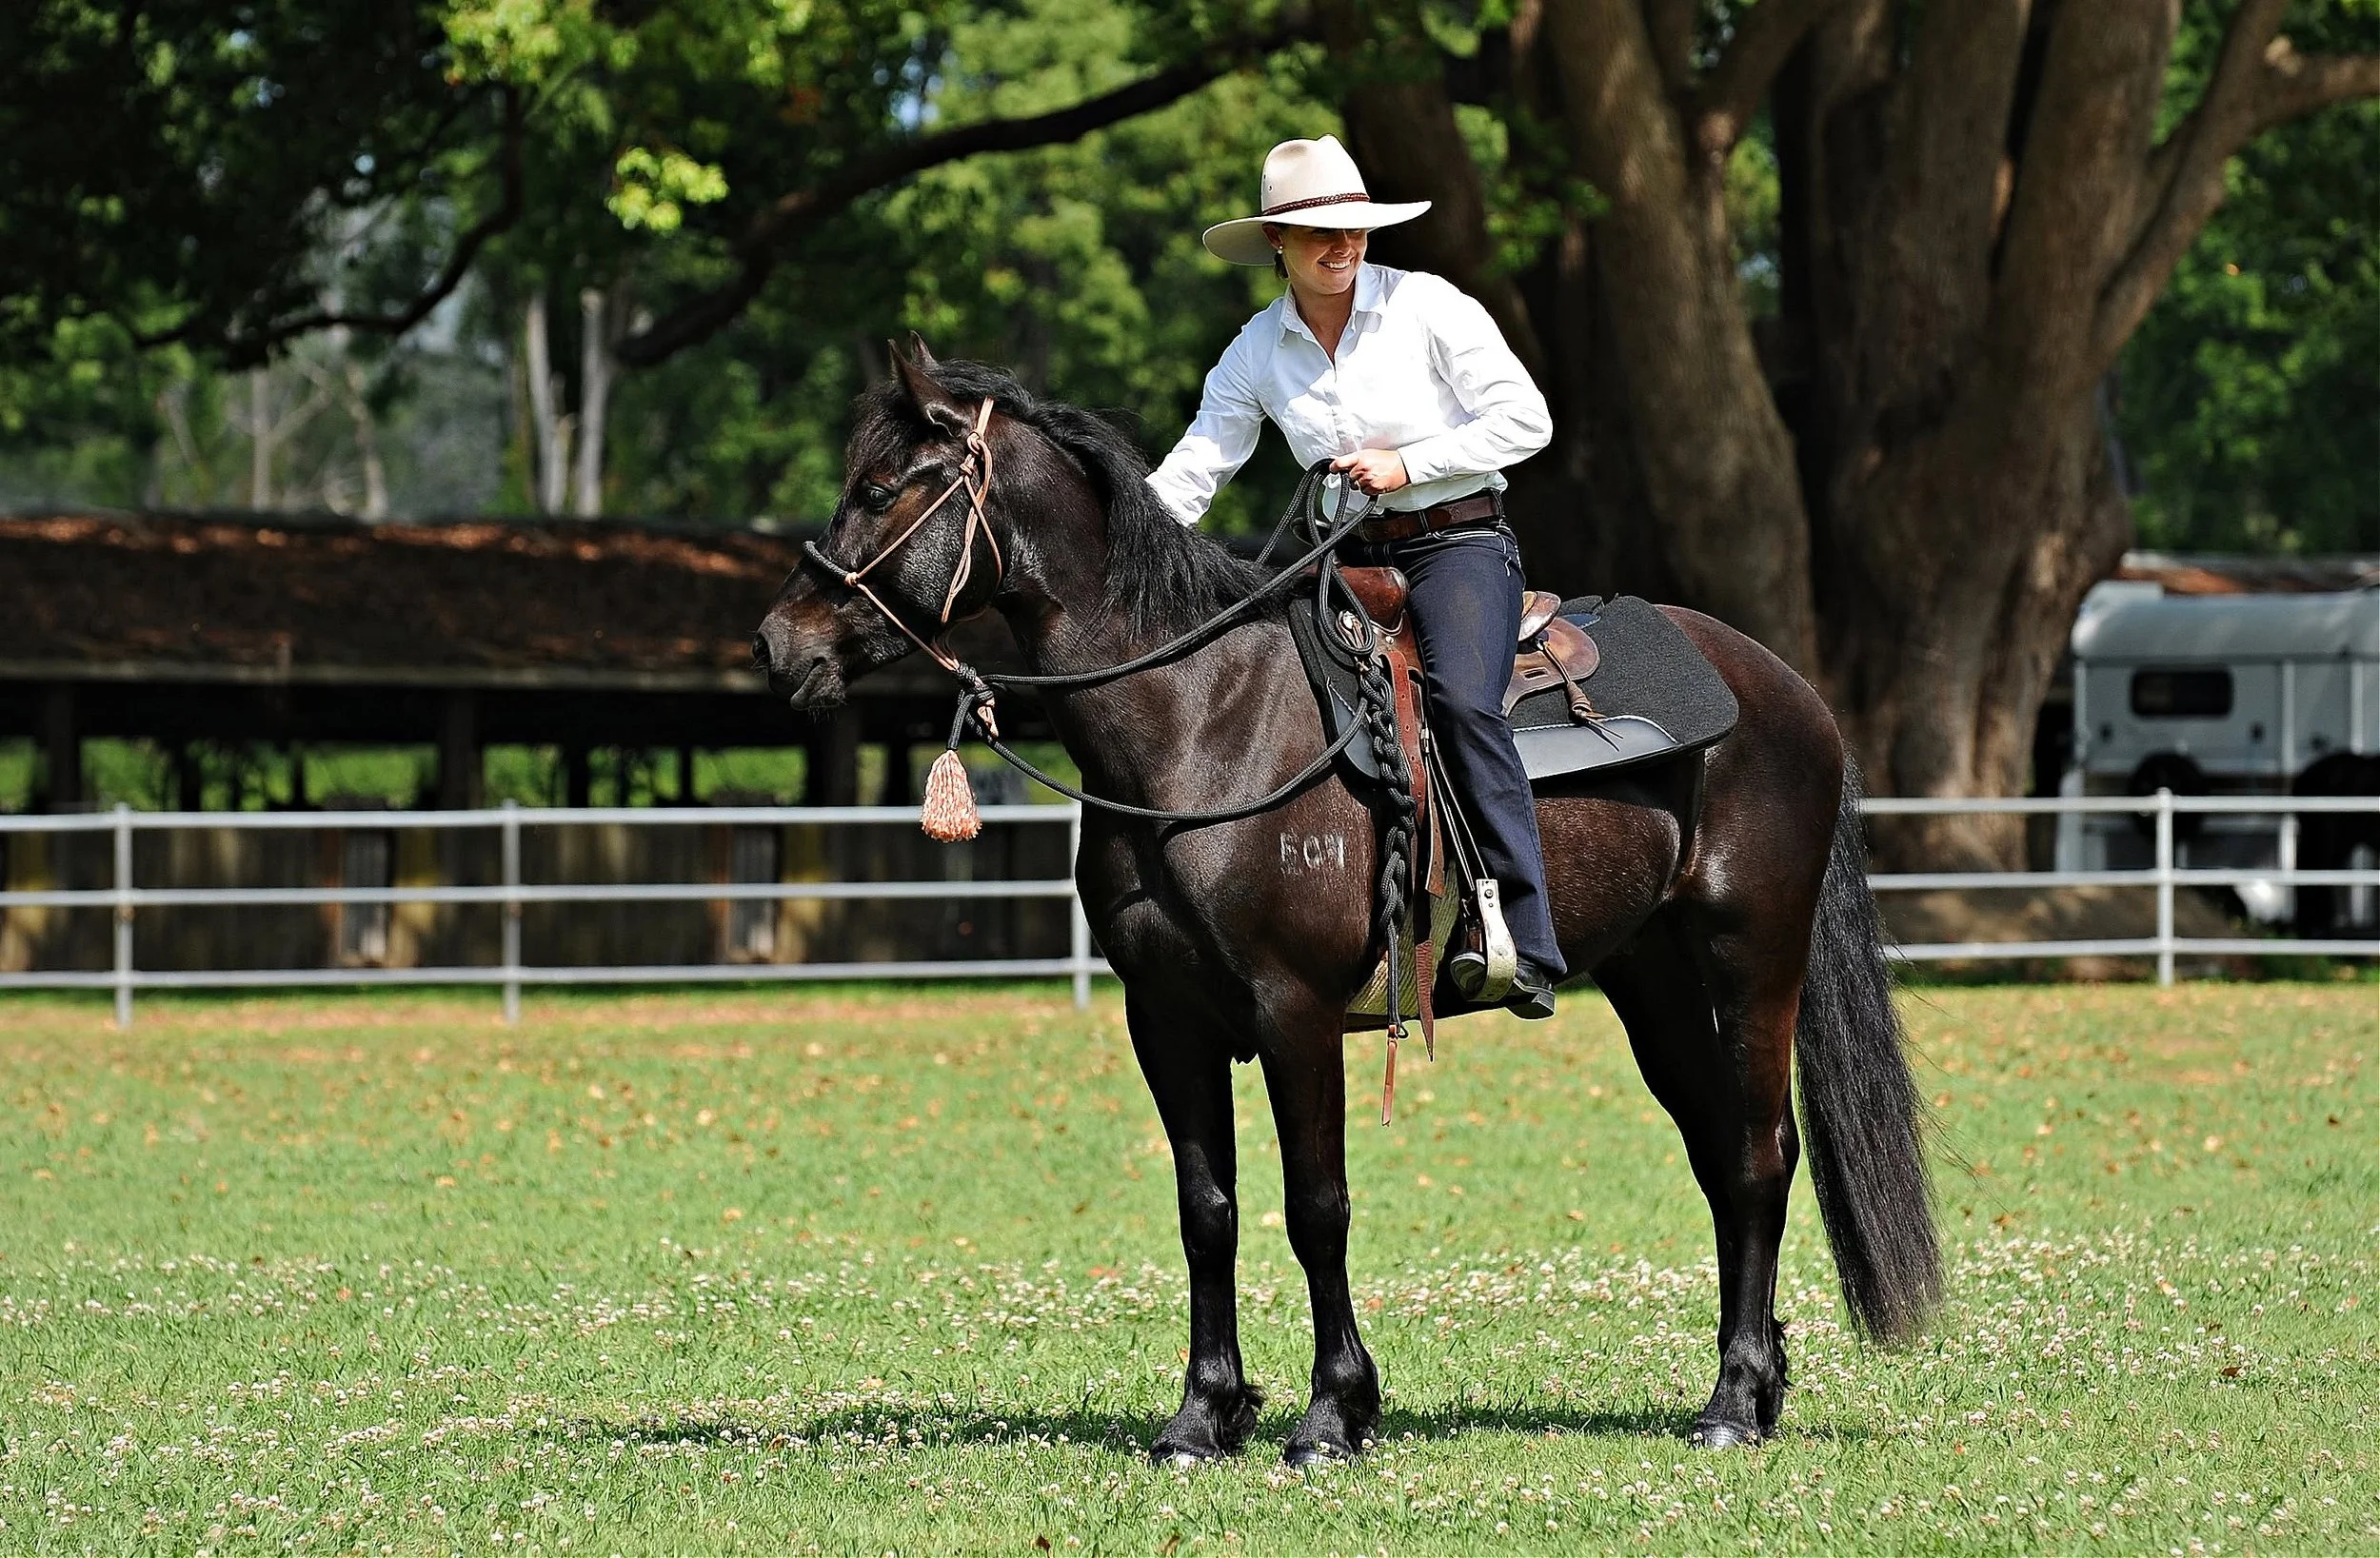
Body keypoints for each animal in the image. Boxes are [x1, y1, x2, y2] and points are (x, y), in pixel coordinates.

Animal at [752, 346, 1942, 1464]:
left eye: (884, 485)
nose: (776, 644)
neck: (1201, 721)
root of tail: (1783, 688)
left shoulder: (1298, 1011)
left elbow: (1314, 1206)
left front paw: (1333, 1412)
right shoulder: (1165, 1019)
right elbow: (1207, 1210)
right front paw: (1203, 1413)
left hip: (1752, 956)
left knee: (1755, 1157)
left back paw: (1732, 1401)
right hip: (1654, 981)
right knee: (1723, 1153)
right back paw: (1759, 1379)